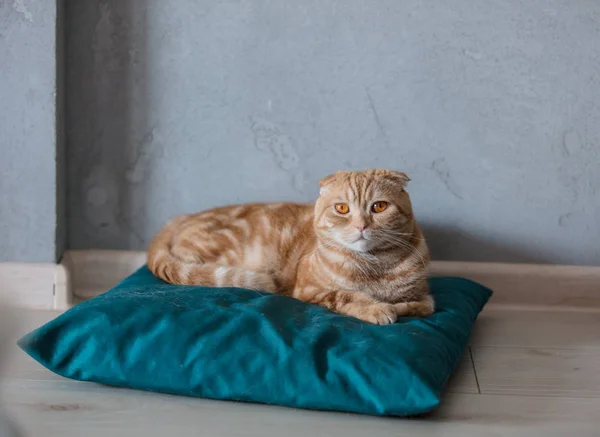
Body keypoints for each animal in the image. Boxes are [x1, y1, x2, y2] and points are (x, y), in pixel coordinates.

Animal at [148, 169, 434, 324]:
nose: (361, 225)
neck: (374, 266)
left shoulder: (427, 298)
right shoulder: (310, 290)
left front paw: (394, 306)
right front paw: (377, 308)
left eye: (379, 207)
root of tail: (181, 217)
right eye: (342, 209)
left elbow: (419, 306)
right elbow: (346, 295)